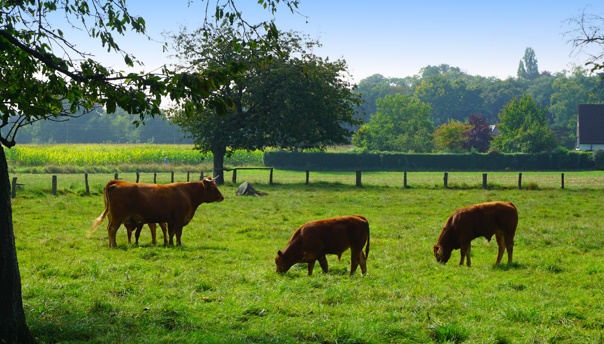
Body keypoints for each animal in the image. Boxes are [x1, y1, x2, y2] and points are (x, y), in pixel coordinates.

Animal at [88, 177, 223, 247]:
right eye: (212, 187)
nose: (222, 197)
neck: (187, 193)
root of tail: (117, 182)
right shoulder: (179, 219)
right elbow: (178, 233)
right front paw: (178, 244)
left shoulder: (171, 220)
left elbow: (171, 233)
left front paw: (170, 244)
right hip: (117, 217)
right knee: (112, 229)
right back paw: (114, 245)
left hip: (111, 216)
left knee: (109, 229)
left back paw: (110, 245)